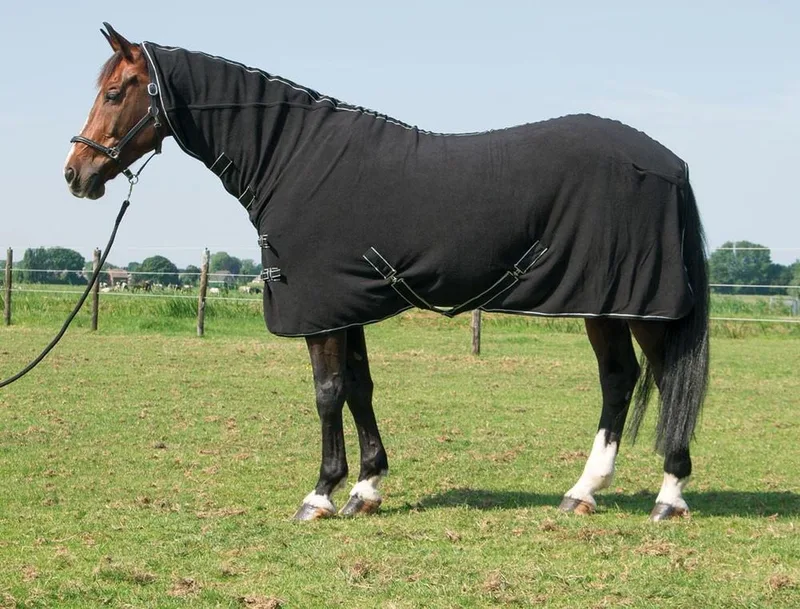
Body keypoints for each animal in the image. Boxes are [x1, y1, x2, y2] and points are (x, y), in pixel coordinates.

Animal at [64, 24, 709, 521]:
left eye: (116, 91)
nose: (76, 173)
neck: (295, 159)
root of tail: (669, 163)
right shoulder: (345, 303)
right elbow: (359, 387)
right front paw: (366, 487)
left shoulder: (321, 309)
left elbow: (327, 393)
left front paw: (320, 495)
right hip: (606, 304)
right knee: (620, 380)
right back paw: (582, 492)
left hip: (637, 304)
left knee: (659, 377)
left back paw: (669, 497)